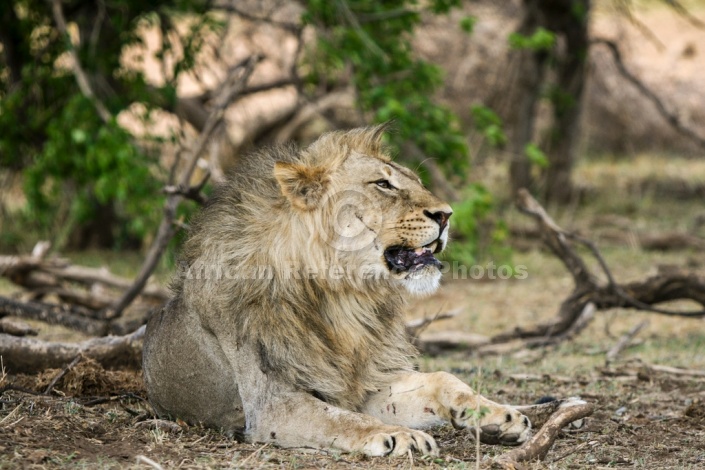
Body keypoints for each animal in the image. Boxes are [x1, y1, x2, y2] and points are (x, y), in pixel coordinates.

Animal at [140, 125, 532, 456]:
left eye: (416, 181)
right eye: (383, 184)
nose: (447, 215)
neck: (344, 296)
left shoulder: (368, 384)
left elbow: (443, 379)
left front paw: (500, 416)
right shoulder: (272, 404)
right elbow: (344, 420)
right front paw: (399, 435)